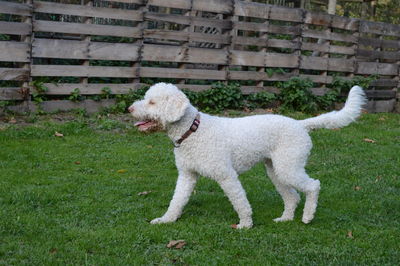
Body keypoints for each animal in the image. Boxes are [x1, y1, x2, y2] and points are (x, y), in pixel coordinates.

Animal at [128, 83, 366, 229]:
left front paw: (245, 224)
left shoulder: (226, 176)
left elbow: (240, 201)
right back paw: (285, 219)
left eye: (152, 102)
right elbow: (177, 201)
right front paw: (166, 220)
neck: (193, 131)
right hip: (275, 170)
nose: (130, 109)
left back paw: (308, 216)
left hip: (289, 167)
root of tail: (300, 124)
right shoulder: (187, 176)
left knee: (313, 186)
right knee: (292, 197)